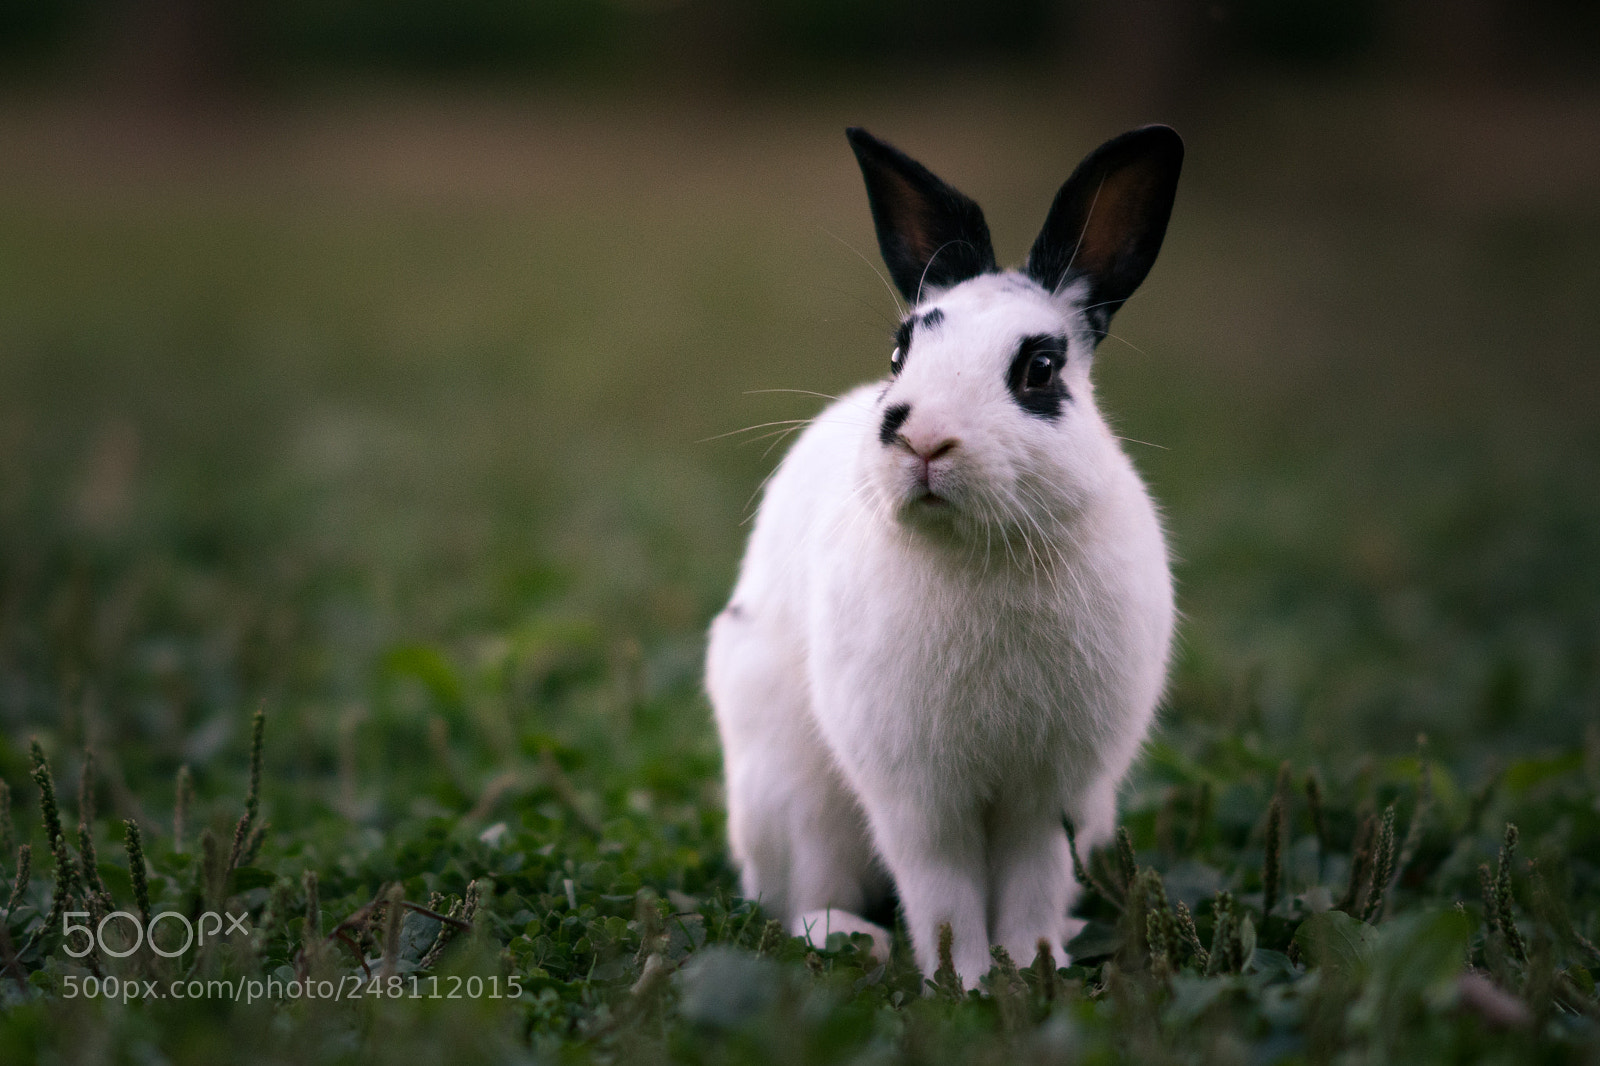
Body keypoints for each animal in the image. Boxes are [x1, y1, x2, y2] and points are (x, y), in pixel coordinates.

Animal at [706, 125, 1183, 988]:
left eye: (1039, 369)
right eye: (900, 353)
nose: (922, 438)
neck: (981, 551)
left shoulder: (1053, 792)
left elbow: (1031, 879)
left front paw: (1030, 964)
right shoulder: (917, 792)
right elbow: (941, 888)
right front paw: (962, 981)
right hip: (790, 797)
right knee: (801, 896)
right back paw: (852, 939)